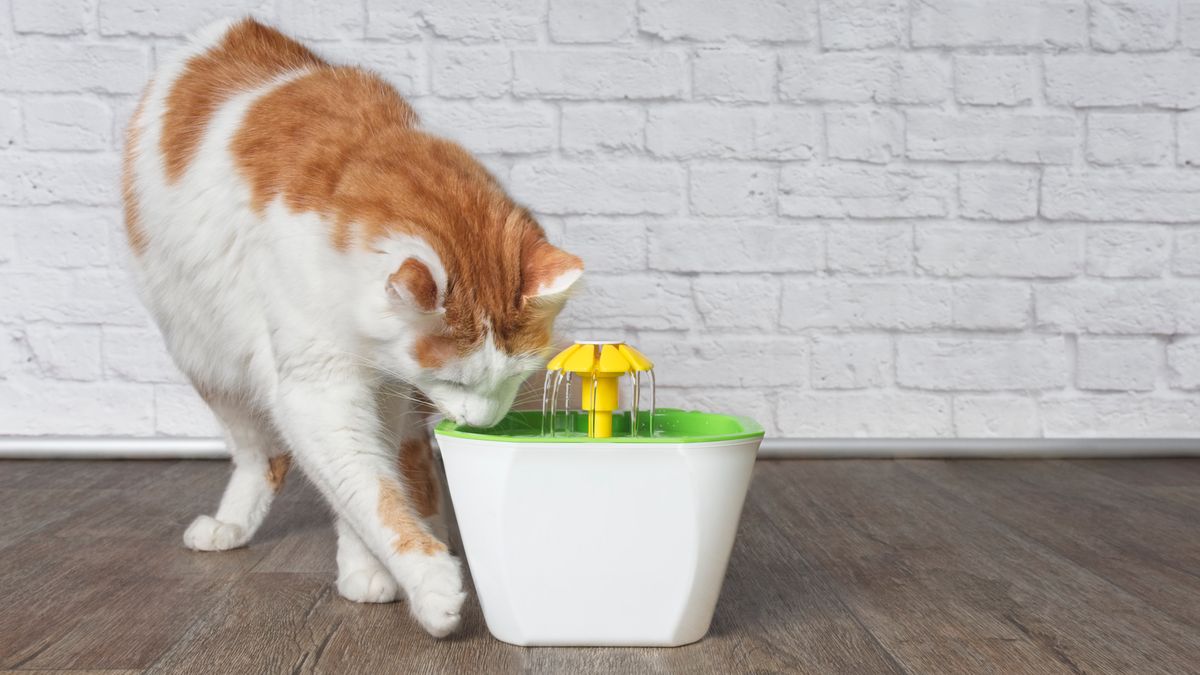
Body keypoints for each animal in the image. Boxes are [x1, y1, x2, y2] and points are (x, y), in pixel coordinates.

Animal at [124, 17, 583, 634]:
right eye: (457, 381)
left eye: (512, 379)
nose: (484, 424)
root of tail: (230, 29)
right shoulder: (316, 390)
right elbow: (366, 487)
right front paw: (429, 584)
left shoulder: (387, 385)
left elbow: (375, 478)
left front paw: (369, 568)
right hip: (205, 352)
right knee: (262, 456)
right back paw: (232, 526)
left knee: (408, 459)